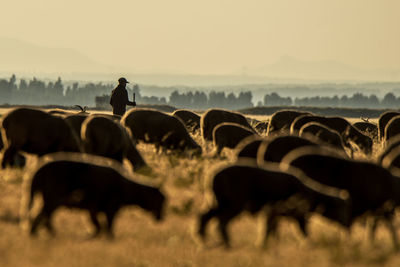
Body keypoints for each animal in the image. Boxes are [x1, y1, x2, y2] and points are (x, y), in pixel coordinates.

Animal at [25, 154, 166, 240]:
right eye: (160, 200)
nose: (162, 218)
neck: (129, 188)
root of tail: (37, 172)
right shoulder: (110, 209)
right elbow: (108, 226)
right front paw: (109, 239)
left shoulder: (93, 209)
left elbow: (98, 227)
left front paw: (90, 237)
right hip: (52, 199)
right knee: (43, 217)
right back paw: (43, 234)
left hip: (50, 200)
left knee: (42, 217)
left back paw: (38, 234)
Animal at [198, 163, 350, 249]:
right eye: (341, 209)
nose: (347, 225)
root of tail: (212, 177)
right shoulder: (293, 214)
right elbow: (302, 231)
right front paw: (310, 244)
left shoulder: (274, 214)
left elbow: (271, 230)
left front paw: (267, 244)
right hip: (234, 203)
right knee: (221, 222)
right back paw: (227, 244)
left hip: (218, 202)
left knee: (205, 217)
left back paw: (204, 241)